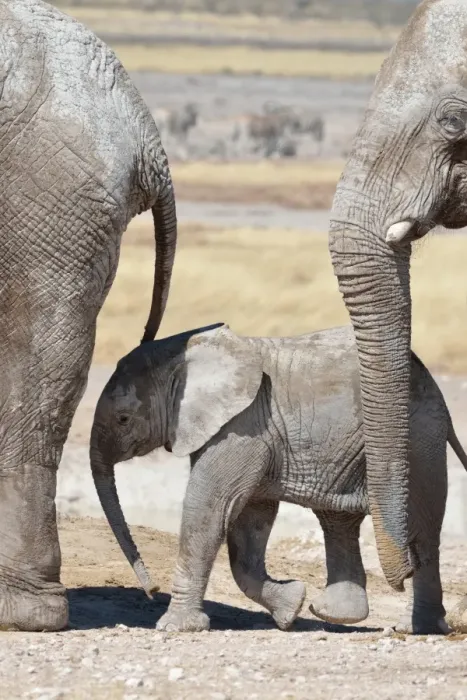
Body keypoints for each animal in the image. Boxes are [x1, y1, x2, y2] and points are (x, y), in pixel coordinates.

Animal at [90, 323, 467, 634]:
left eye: (123, 419)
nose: (151, 591)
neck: (185, 353)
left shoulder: (242, 427)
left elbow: (209, 507)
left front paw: (176, 627)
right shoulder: (253, 432)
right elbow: (249, 522)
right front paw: (291, 607)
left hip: (417, 437)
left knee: (419, 529)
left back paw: (415, 628)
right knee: (337, 520)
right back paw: (335, 614)